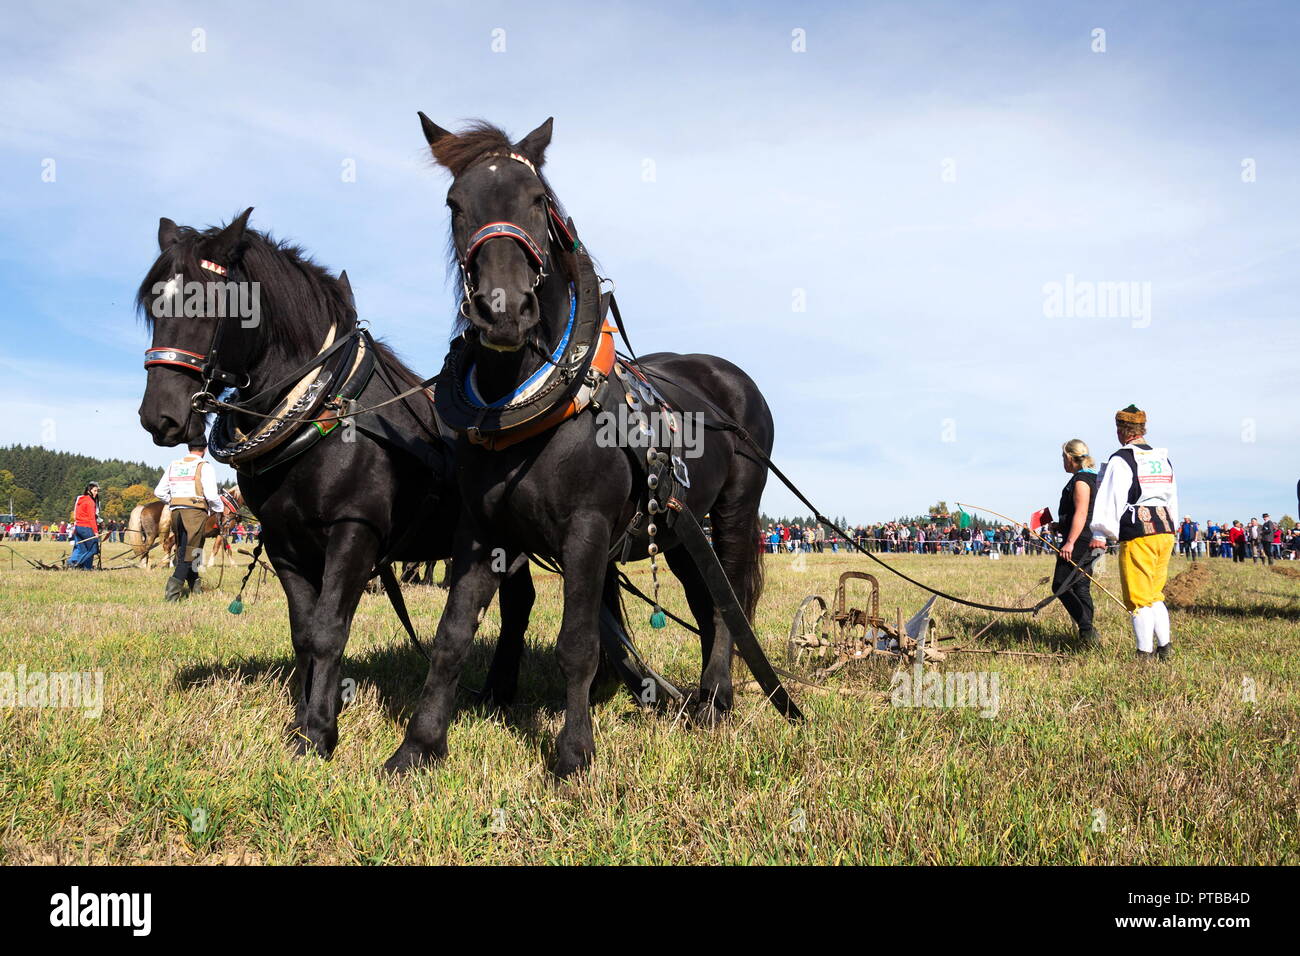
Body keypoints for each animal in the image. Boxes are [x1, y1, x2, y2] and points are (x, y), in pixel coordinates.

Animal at [135, 213, 533, 759]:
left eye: (211, 302)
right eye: (154, 304)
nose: (161, 416)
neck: (324, 406)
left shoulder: (354, 532)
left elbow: (328, 630)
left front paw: (318, 734)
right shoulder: (284, 542)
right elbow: (305, 633)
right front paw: (305, 718)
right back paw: (497, 692)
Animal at [379, 119, 774, 780]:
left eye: (539, 200)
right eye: (455, 204)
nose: (503, 311)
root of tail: (730, 377)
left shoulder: (586, 531)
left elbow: (578, 645)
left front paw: (573, 754)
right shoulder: (480, 531)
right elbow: (452, 636)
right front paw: (418, 746)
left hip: (733, 514)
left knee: (728, 605)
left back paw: (716, 699)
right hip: (677, 529)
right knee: (707, 599)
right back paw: (701, 696)